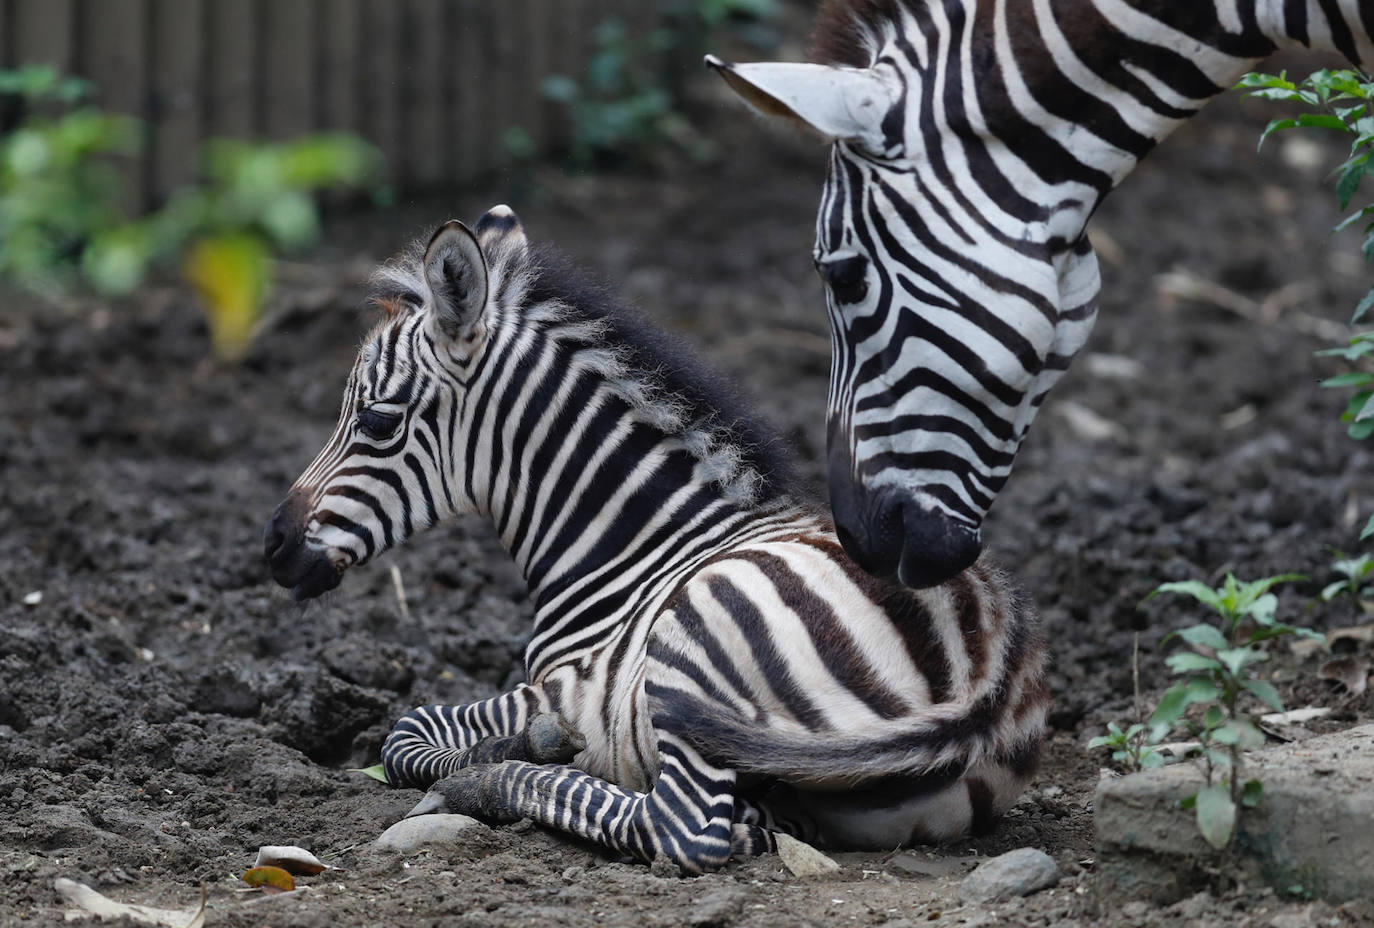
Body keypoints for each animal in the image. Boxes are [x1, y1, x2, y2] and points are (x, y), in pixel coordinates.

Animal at [262, 206, 1048, 873]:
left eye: (378, 421)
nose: (273, 544)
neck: (632, 546)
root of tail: (985, 679)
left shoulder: (560, 689)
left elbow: (405, 733)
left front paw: (501, 753)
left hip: (695, 646)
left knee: (683, 830)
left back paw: (495, 780)